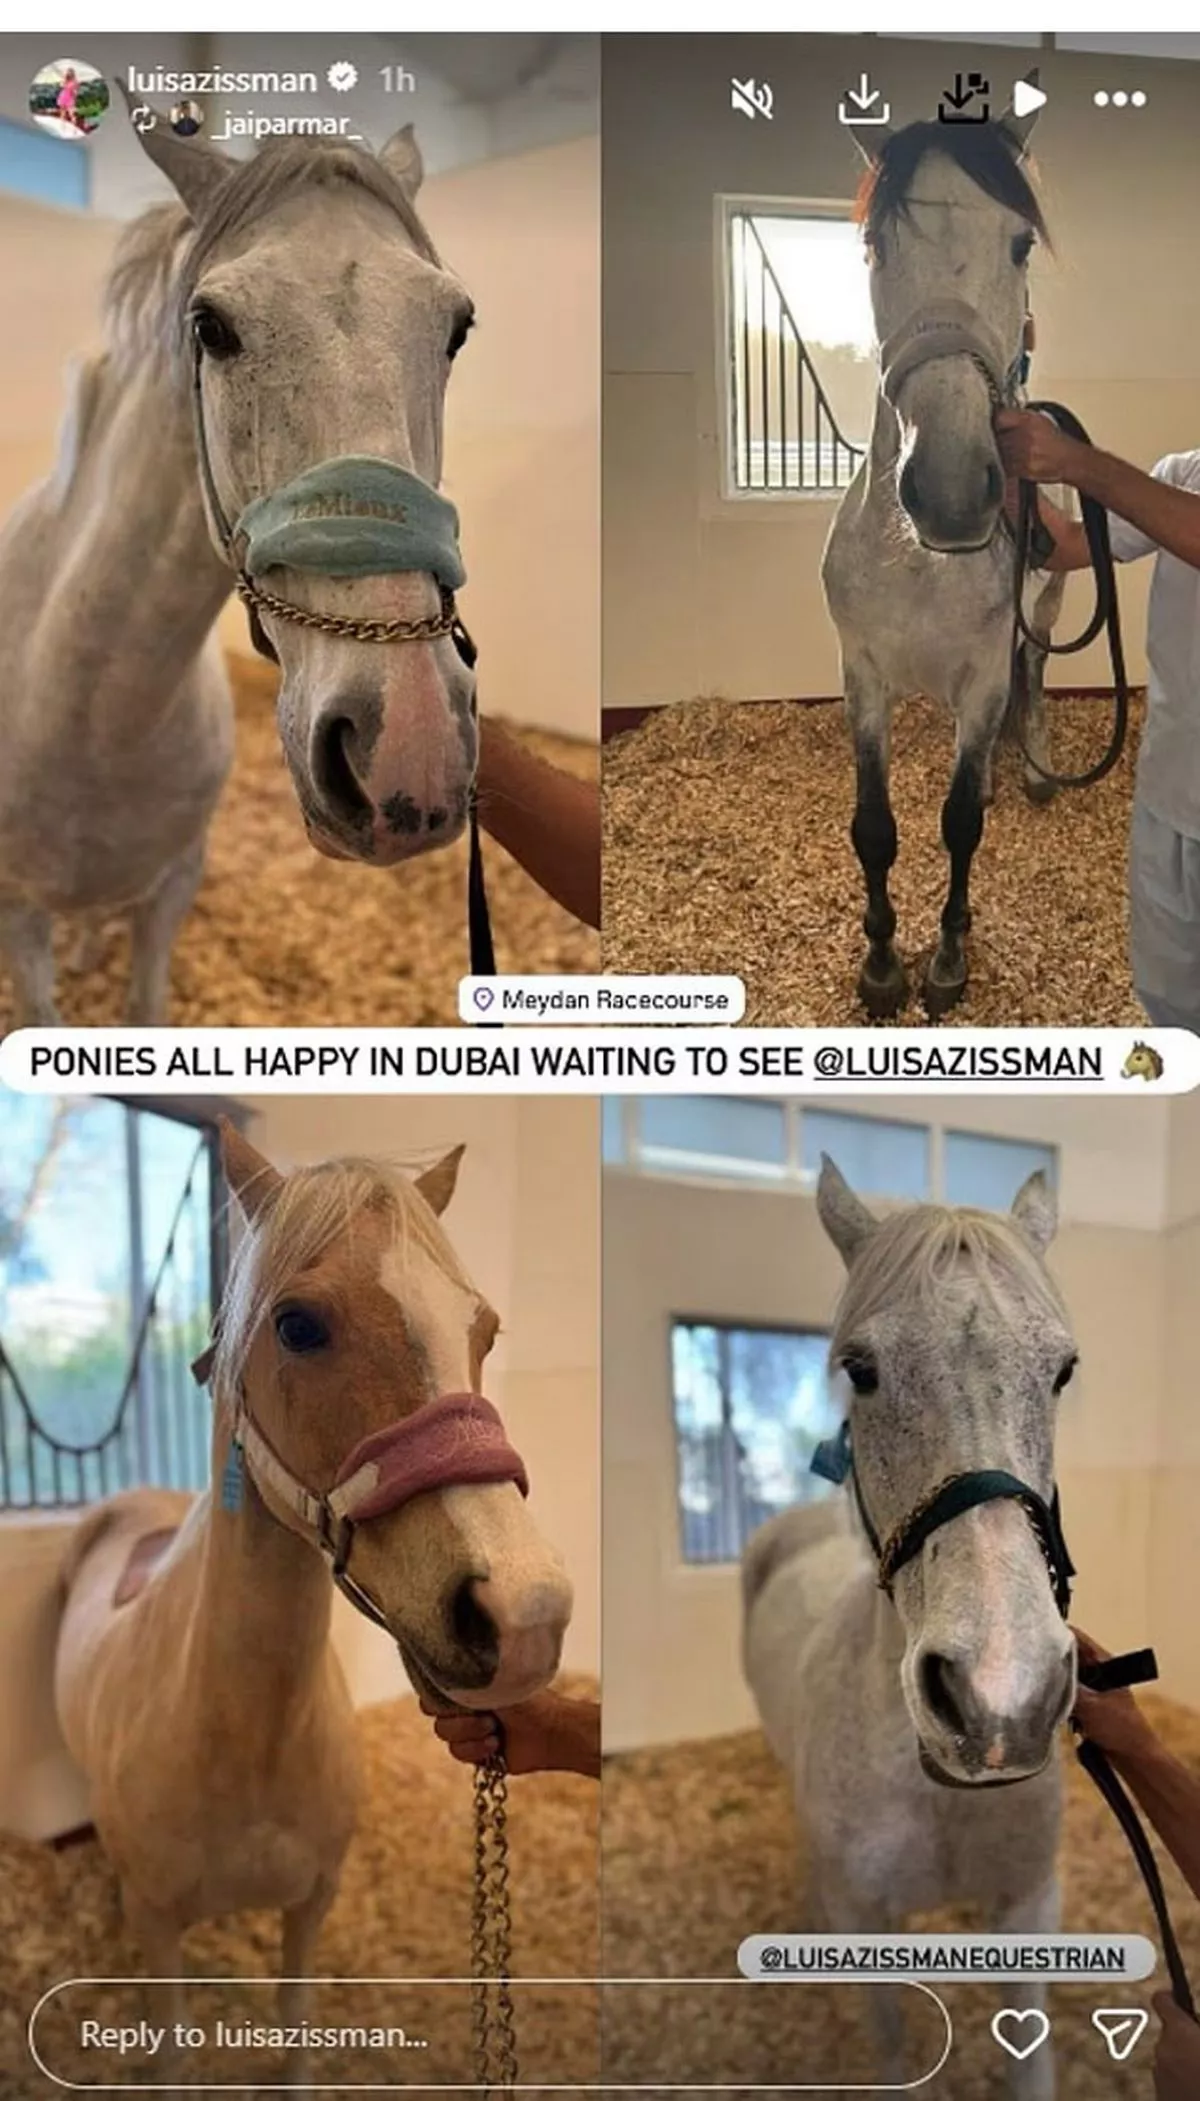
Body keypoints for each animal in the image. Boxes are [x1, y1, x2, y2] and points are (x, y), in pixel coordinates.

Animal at [0, 107, 478, 1025]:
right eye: (210, 326)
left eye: (457, 328)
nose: (411, 749)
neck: (92, 717)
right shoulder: (18, 915)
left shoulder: (171, 886)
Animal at [54, 1122, 572, 2083]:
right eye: (297, 1323)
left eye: (483, 1330)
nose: (525, 1613)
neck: (244, 1738)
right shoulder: (160, 1925)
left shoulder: (313, 1901)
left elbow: (293, 2027)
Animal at [743, 1156, 1079, 2097]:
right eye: (859, 1368)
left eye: (1063, 1370)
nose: (1001, 1697)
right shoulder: (870, 1922)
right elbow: (894, 2044)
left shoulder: (1027, 1907)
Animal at [822, 93, 1067, 1020]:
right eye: (874, 245)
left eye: (1021, 242)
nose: (955, 489)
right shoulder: (862, 673)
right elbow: (874, 827)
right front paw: (882, 964)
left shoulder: (983, 674)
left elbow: (960, 824)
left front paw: (949, 959)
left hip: (1048, 604)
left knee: (1037, 667)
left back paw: (1033, 765)